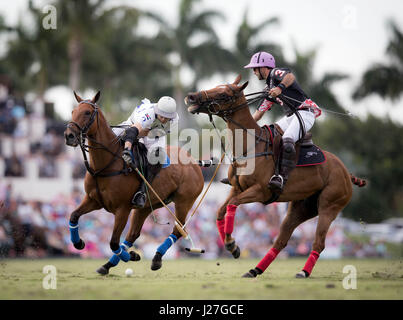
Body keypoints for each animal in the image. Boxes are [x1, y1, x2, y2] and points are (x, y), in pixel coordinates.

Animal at [66, 91, 205, 274]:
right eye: (73, 111)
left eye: (88, 113)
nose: (69, 136)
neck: (106, 165)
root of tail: (195, 162)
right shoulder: (93, 200)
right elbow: (74, 216)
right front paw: (79, 243)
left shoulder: (122, 209)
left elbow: (113, 243)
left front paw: (132, 256)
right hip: (145, 207)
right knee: (133, 234)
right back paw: (107, 265)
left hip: (184, 202)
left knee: (178, 229)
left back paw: (156, 258)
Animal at [185, 75, 368, 278]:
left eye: (224, 94)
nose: (191, 97)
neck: (250, 147)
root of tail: (346, 172)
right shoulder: (237, 188)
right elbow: (220, 211)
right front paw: (232, 246)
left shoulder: (260, 191)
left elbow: (232, 205)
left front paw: (232, 244)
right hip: (301, 207)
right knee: (281, 240)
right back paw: (255, 270)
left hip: (329, 206)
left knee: (319, 242)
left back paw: (303, 272)